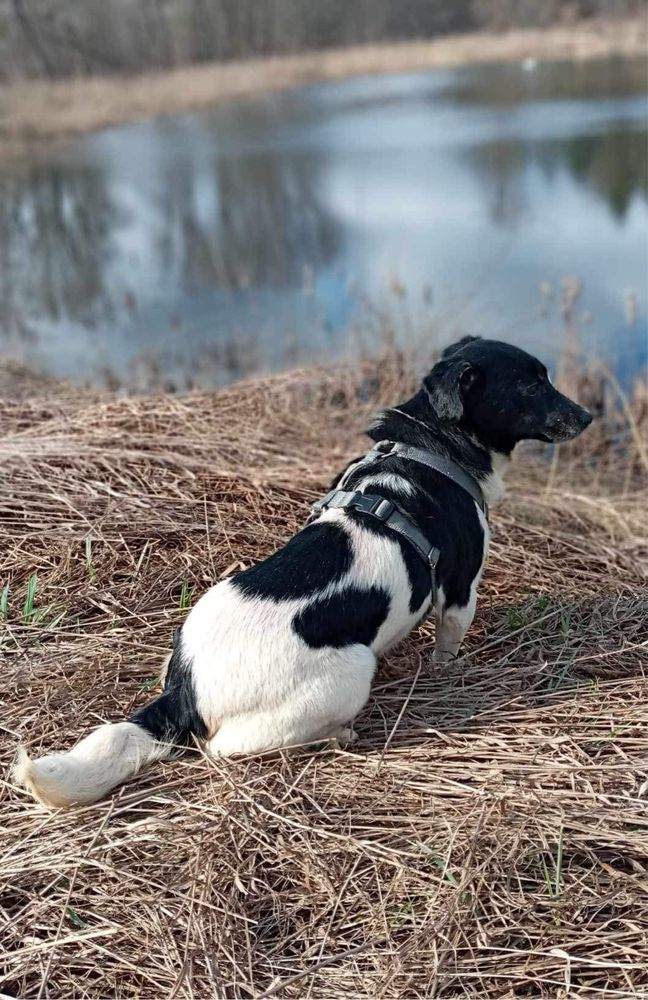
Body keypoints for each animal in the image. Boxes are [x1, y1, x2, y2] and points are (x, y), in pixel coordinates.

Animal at [15, 340, 592, 808]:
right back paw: (336, 737)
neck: (431, 446)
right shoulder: (459, 592)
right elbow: (447, 649)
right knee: (226, 749)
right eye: (532, 383)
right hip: (350, 673)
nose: (587, 415)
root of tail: (186, 694)